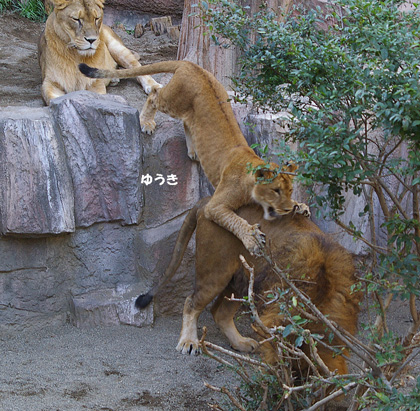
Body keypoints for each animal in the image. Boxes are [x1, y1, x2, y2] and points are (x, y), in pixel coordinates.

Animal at [79, 60, 308, 256]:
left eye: (289, 191)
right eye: (275, 191)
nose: (287, 209)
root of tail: (190, 64)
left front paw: (300, 206)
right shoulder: (214, 206)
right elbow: (234, 220)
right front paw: (252, 239)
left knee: (187, 121)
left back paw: (193, 151)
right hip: (173, 101)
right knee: (154, 94)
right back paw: (146, 123)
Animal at [138, 198, 360, 374]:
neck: (321, 291)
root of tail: (207, 201)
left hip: (241, 281)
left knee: (220, 312)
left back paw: (241, 343)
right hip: (215, 272)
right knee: (191, 302)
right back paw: (189, 342)